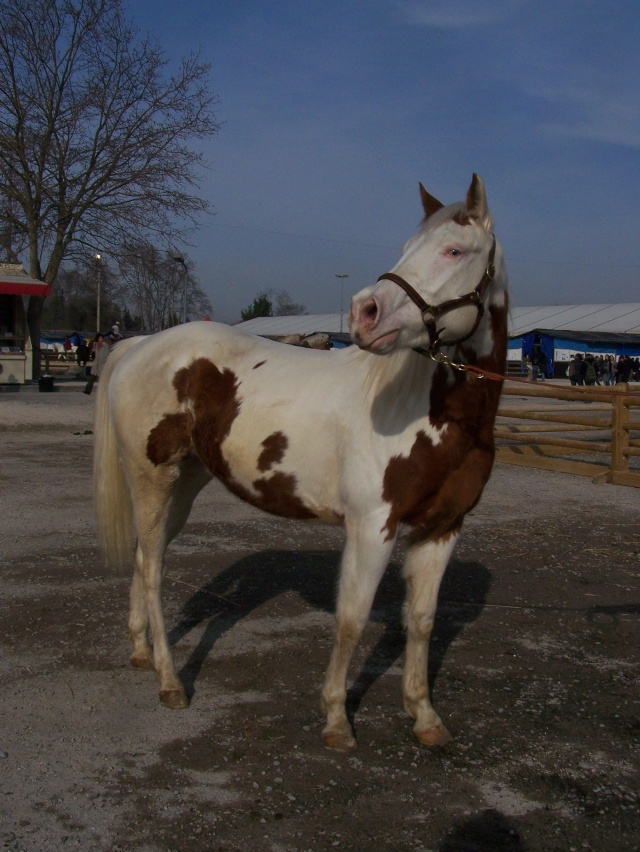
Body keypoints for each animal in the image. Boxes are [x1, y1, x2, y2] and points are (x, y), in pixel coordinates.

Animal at [92, 175, 508, 752]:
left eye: (453, 250)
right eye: (407, 247)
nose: (365, 312)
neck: (431, 411)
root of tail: (140, 345)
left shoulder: (442, 529)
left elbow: (422, 621)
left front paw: (424, 716)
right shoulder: (372, 528)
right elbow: (352, 619)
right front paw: (335, 720)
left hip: (185, 485)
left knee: (140, 557)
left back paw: (141, 652)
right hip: (152, 477)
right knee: (152, 570)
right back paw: (170, 682)